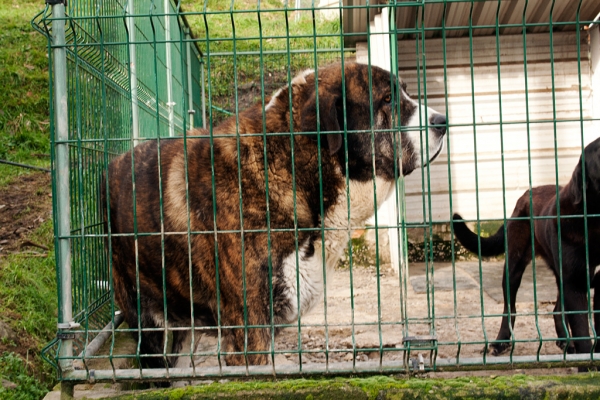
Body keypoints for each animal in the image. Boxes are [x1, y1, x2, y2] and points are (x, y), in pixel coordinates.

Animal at [454, 136, 600, 354]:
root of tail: (525, 195)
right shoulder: (574, 283)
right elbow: (582, 331)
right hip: (514, 267)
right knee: (510, 310)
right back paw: (500, 343)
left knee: (557, 310)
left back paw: (565, 342)